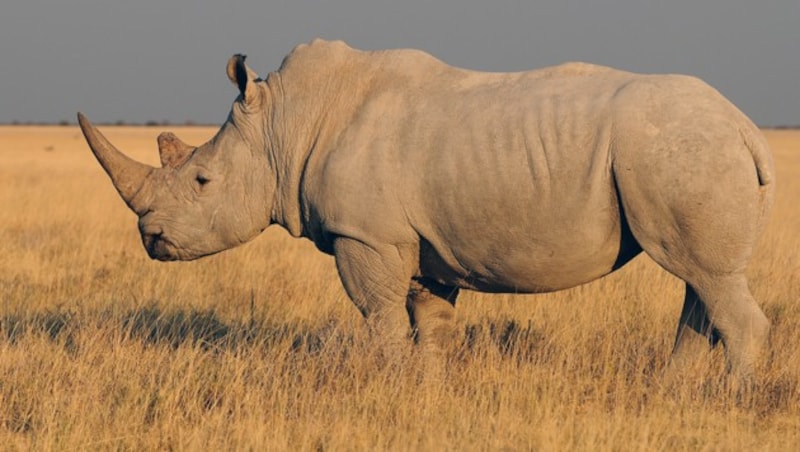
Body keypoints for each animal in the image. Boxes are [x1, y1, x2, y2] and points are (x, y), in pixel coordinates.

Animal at [76, 40, 776, 384]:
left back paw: (731, 400)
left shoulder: (367, 236)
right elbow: (429, 322)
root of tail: (746, 125)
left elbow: (382, 317)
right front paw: (429, 391)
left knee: (706, 277)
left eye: (201, 180)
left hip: (680, 149)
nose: (151, 237)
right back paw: (675, 391)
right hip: (683, 151)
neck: (285, 125)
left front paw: (389, 390)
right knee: (700, 278)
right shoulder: (421, 242)